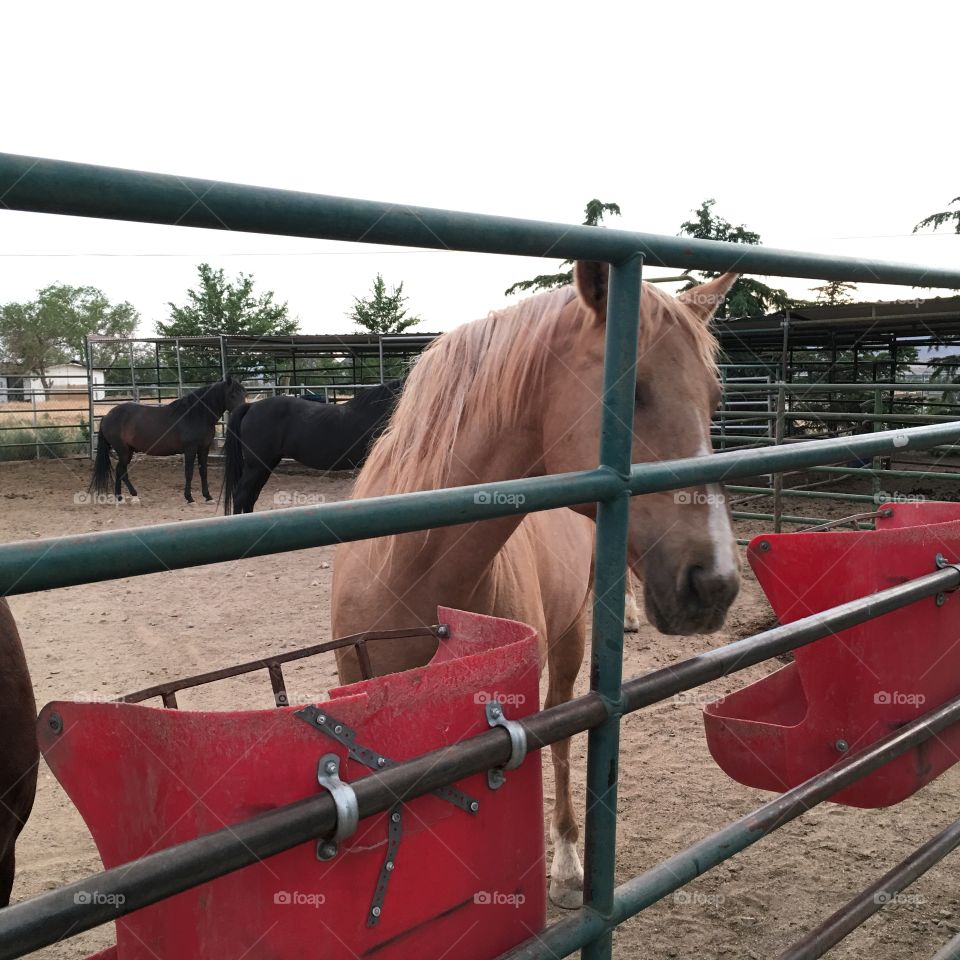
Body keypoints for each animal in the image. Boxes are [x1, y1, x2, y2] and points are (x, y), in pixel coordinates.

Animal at [92, 378, 246, 506]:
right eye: (232, 395)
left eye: (244, 393)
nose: (242, 412)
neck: (196, 414)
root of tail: (107, 416)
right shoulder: (190, 449)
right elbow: (189, 472)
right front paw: (190, 498)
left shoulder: (204, 448)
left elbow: (203, 472)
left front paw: (208, 497)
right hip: (123, 451)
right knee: (121, 470)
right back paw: (130, 496)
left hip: (128, 451)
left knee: (120, 471)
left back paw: (121, 497)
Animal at [330, 262, 744, 908]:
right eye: (631, 391)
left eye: (714, 399)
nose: (716, 582)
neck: (413, 576)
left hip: (572, 637)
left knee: (564, 736)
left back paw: (569, 861)